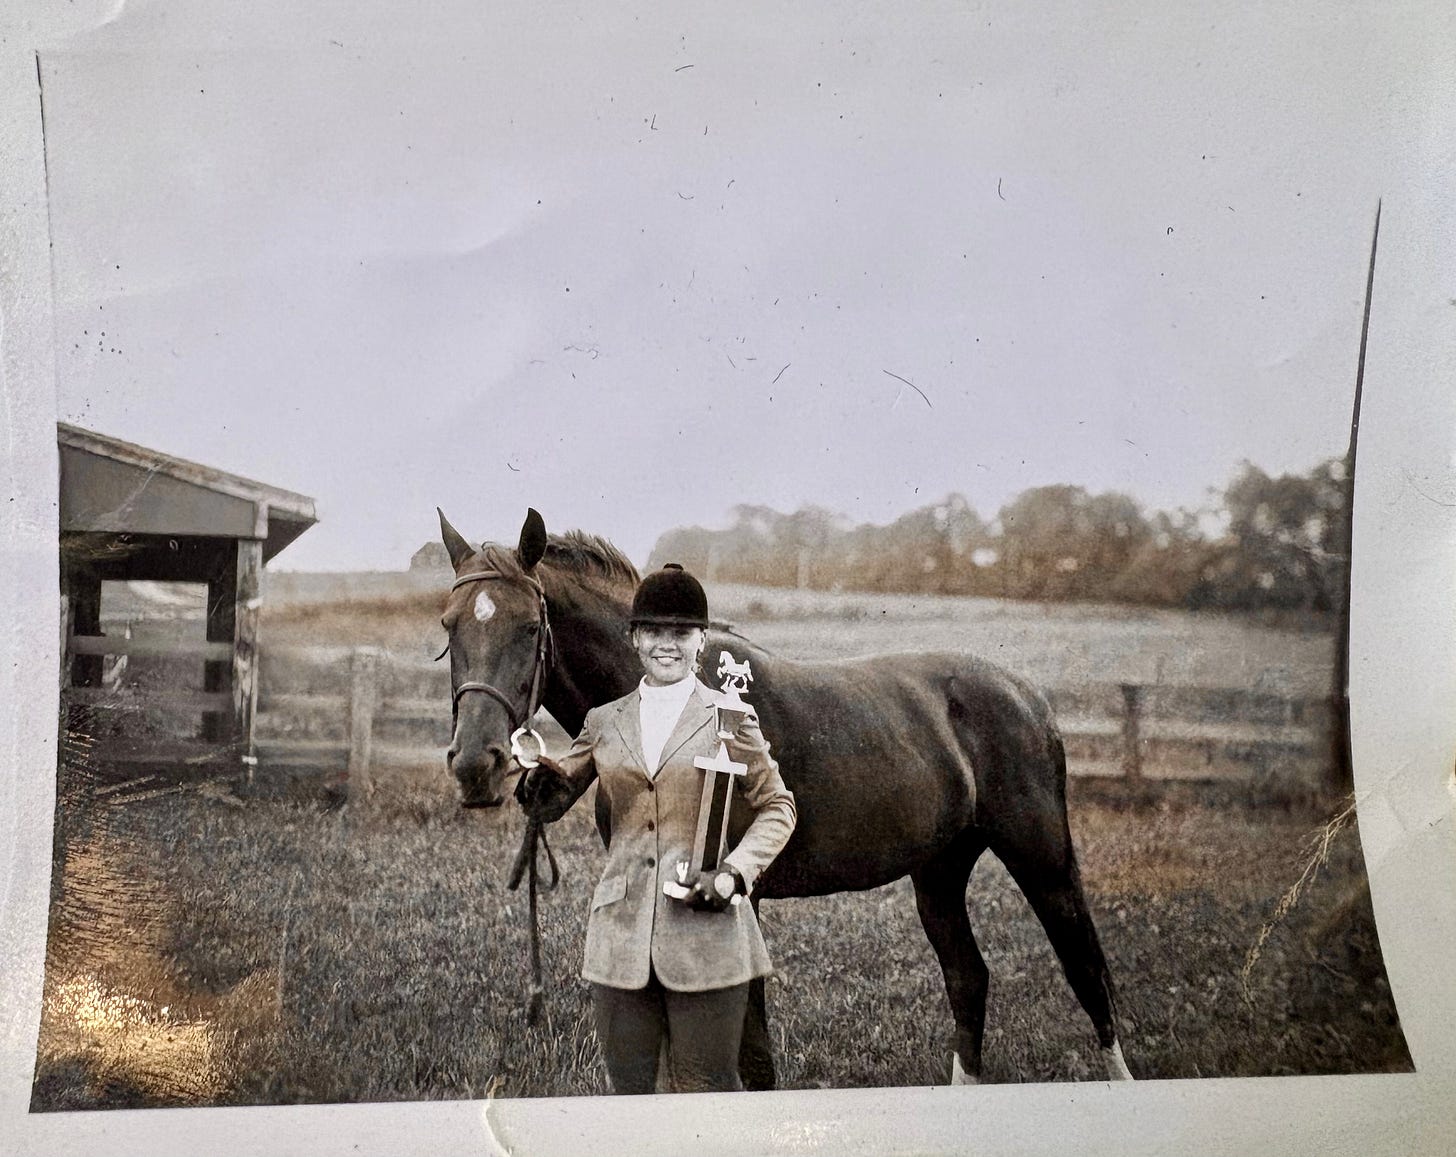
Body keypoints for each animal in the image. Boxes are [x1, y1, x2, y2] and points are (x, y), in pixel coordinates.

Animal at [437, 507, 1134, 1087]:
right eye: (448, 627)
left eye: (531, 627)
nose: (475, 765)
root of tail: (1027, 694)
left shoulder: (730, 896)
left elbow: (751, 1059)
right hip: (939, 869)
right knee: (969, 977)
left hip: (1042, 859)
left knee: (1086, 970)